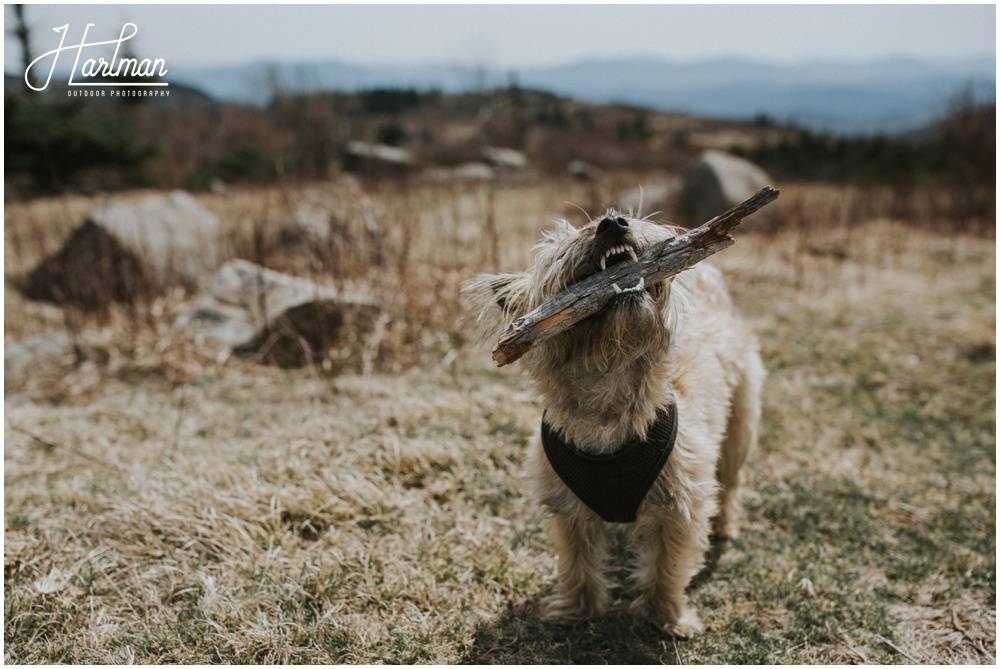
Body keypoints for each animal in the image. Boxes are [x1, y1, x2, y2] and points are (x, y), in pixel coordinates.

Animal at [462, 209, 764, 636]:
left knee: (732, 480)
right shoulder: (566, 509)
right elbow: (577, 562)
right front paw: (577, 609)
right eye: (559, 252)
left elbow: (668, 565)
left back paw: (724, 524)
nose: (613, 222)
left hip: (740, 431)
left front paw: (666, 616)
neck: (609, 384)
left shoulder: (681, 505)